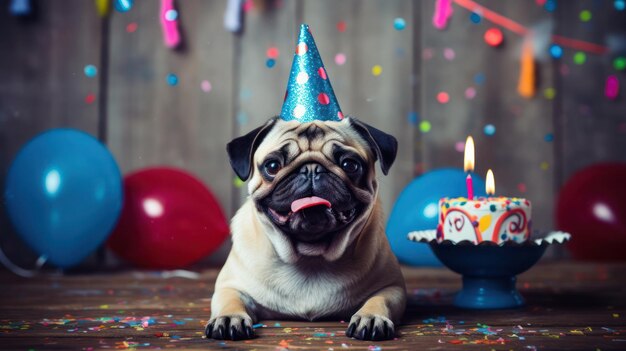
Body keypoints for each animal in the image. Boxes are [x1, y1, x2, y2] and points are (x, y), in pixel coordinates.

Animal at [205, 117, 404, 342]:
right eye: (272, 166)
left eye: (350, 165)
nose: (311, 170)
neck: (310, 255)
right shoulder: (230, 286)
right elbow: (230, 299)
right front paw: (229, 318)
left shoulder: (392, 287)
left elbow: (379, 299)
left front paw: (370, 317)